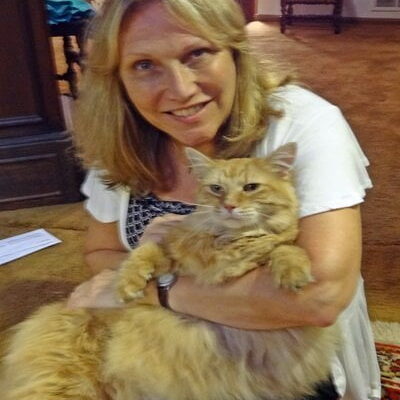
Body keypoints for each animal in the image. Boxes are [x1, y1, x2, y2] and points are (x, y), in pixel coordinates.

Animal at [0, 144, 338, 400]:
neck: (229, 241)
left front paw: (292, 271)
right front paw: (128, 286)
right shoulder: (169, 247)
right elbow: (143, 253)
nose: (228, 206)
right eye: (216, 189)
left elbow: (285, 249)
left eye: (251, 188)